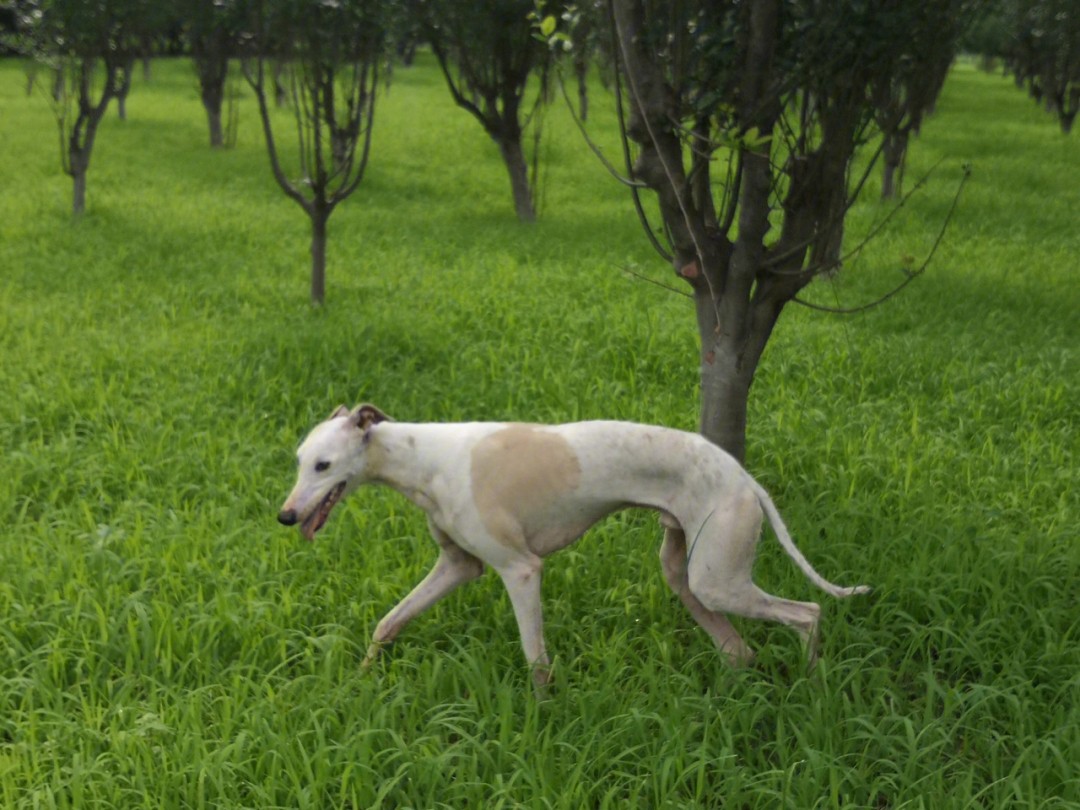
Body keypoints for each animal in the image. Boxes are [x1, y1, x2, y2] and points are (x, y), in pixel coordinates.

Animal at [278, 406, 868, 691]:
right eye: (299, 460)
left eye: (324, 465)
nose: (285, 516)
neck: (422, 458)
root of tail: (745, 477)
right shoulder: (456, 567)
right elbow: (389, 622)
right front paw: (360, 680)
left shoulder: (520, 570)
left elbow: (536, 659)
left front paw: (542, 719)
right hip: (686, 575)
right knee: (737, 650)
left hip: (718, 580)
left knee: (809, 612)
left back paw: (813, 686)